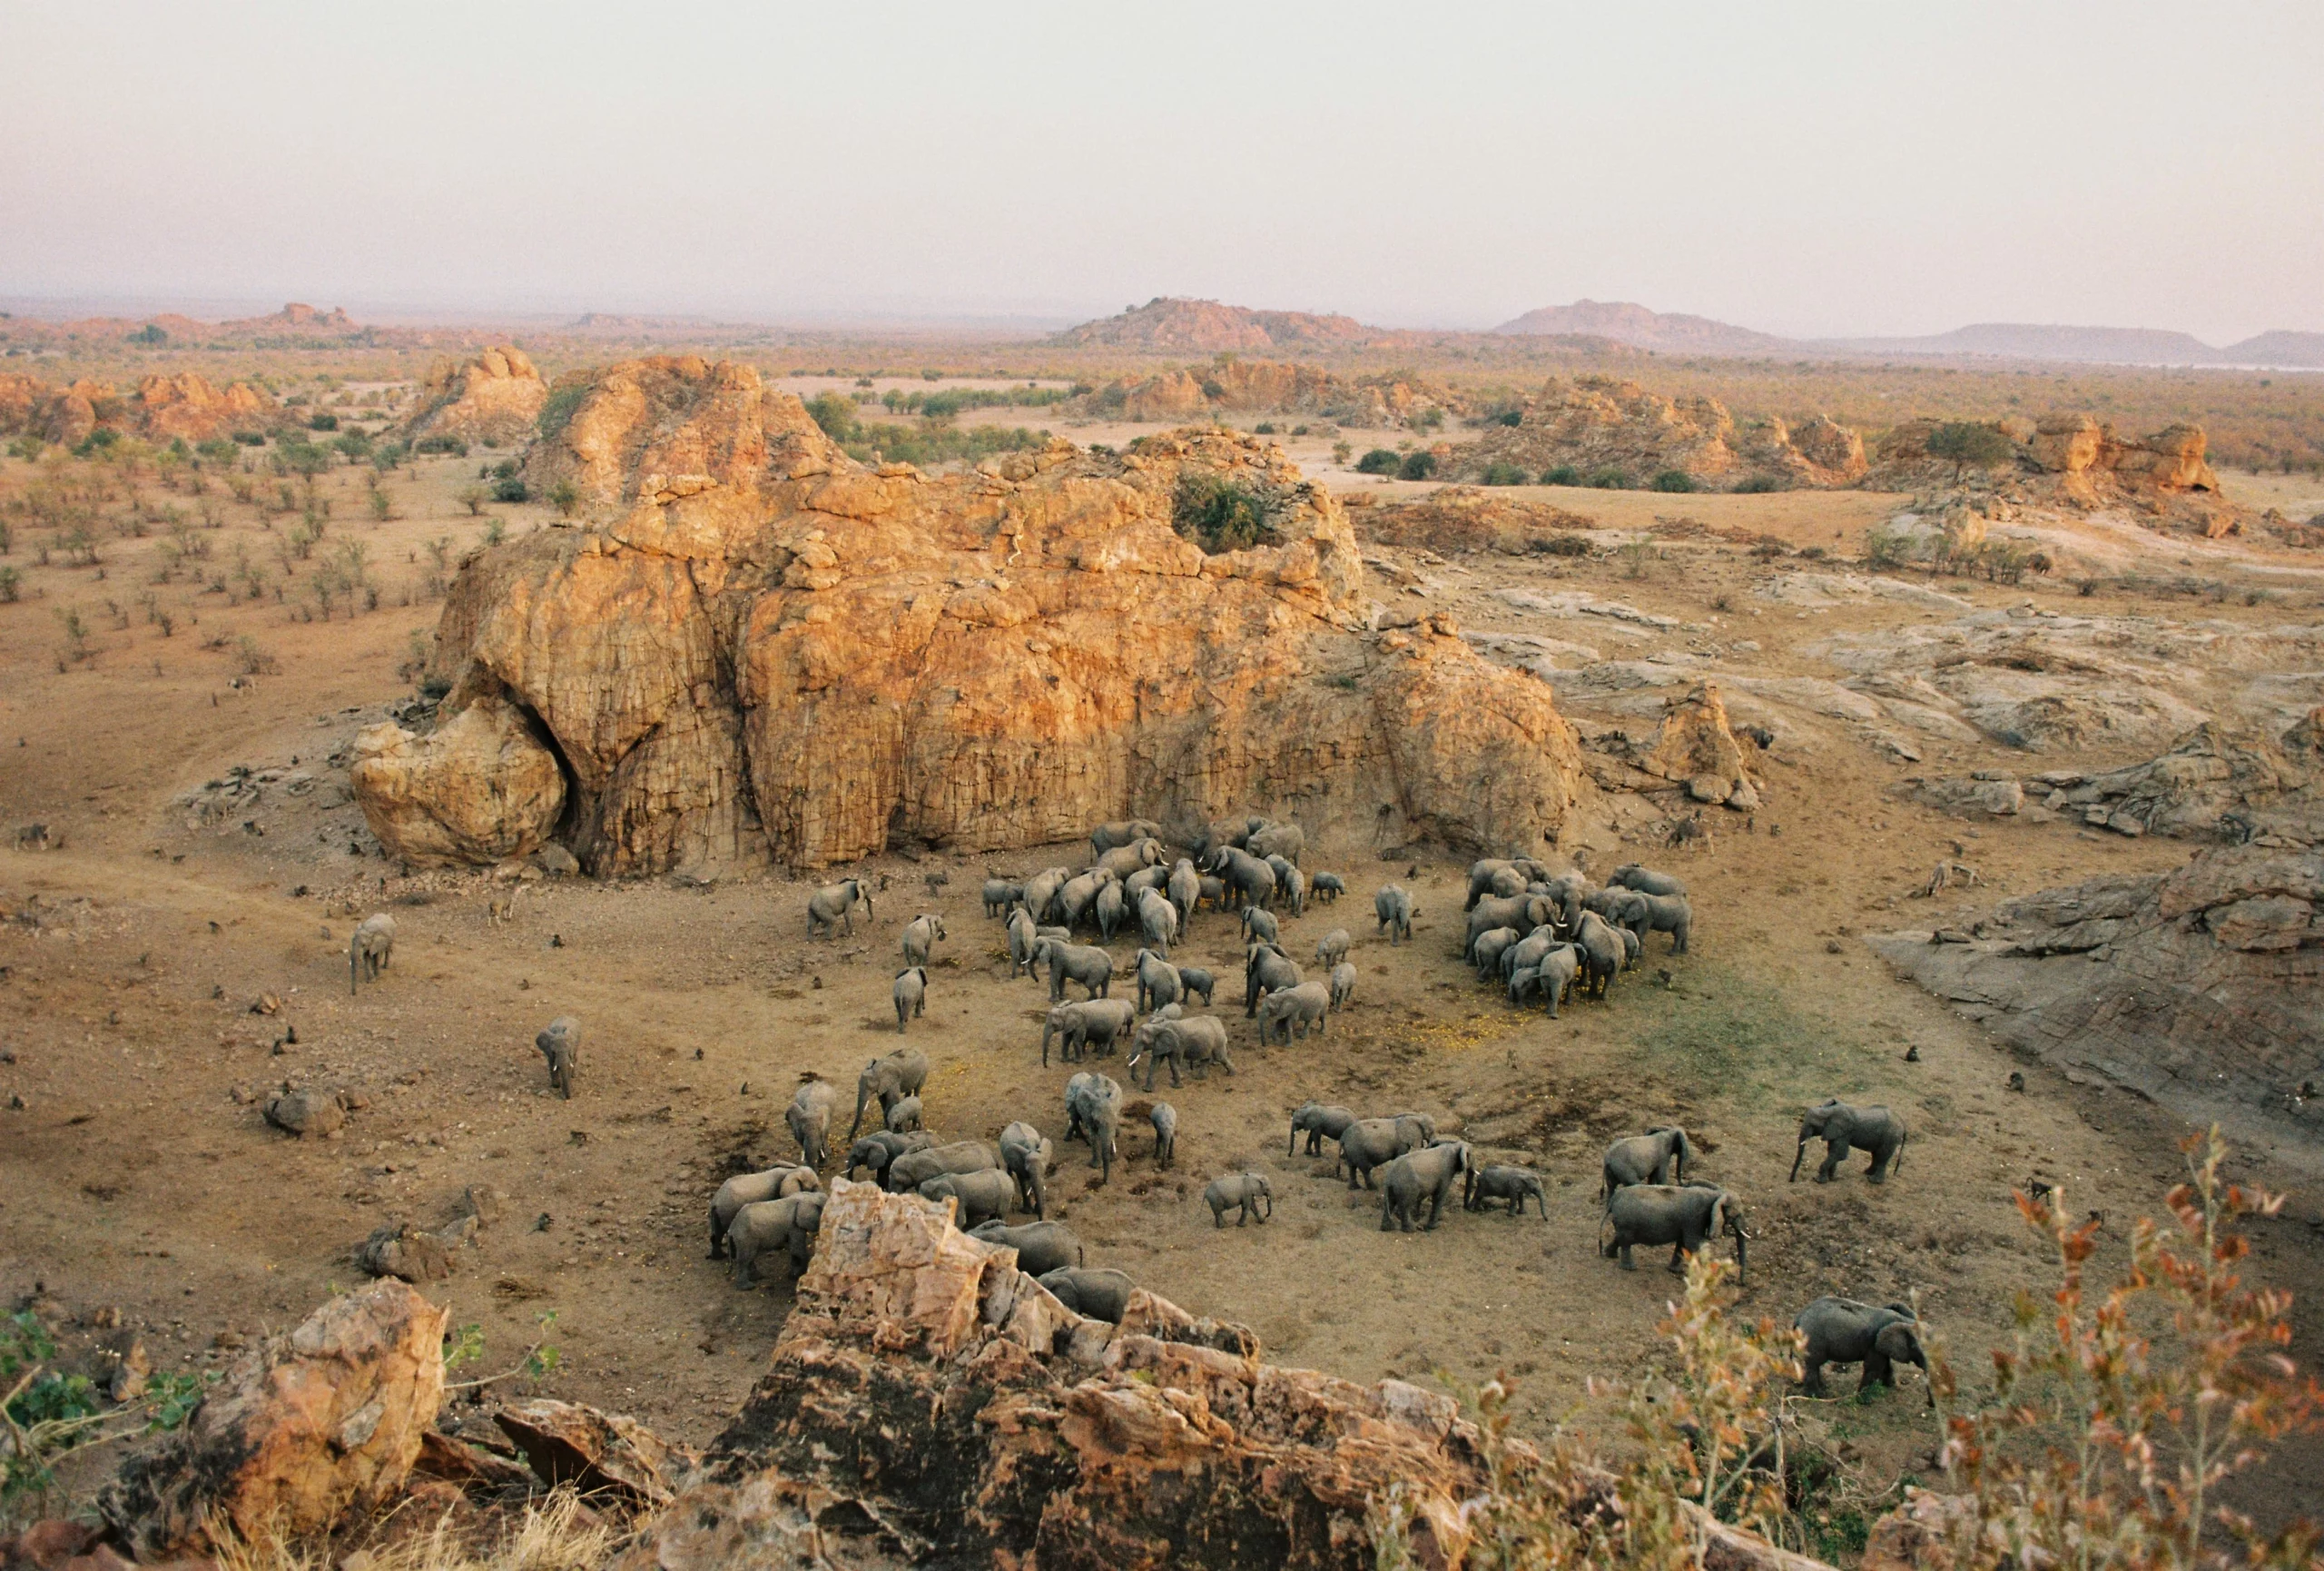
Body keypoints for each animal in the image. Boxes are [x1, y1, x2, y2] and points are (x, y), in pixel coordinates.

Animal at [1601, 1183, 1747, 1281]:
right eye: (1737, 1215)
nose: (1740, 1283)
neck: (1717, 1193)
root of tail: (1613, 1200)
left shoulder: (1688, 1223)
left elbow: (1682, 1243)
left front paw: (1675, 1271)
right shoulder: (1695, 1218)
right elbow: (1692, 1243)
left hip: (1623, 1223)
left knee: (1620, 1238)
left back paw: (1609, 1255)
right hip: (1626, 1222)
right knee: (1626, 1242)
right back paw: (1629, 1268)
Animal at [1791, 1101, 1908, 1184]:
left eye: (1813, 1125)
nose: (1791, 1181)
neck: (1829, 1111)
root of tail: (1903, 1123)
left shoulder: (1844, 1132)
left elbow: (1840, 1153)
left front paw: (1818, 1180)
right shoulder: (1835, 1132)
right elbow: (1833, 1151)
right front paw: (1832, 1179)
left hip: (1890, 1136)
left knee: (1882, 1157)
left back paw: (1873, 1181)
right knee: (1876, 1155)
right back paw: (1866, 1173)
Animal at [1795, 1298, 1929, 1400]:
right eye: (1915, 1348)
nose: (1930, 1405)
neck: (1906, 1321)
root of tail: (1800, 1316)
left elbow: (1885, 1364)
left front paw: (1888, 1386)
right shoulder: (1873, 1343)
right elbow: (1873, 1367)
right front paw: (1863, 1401)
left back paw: (1822, 1388)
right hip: (1813, 1338)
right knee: (1813, 1364)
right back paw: (1817, 1396)